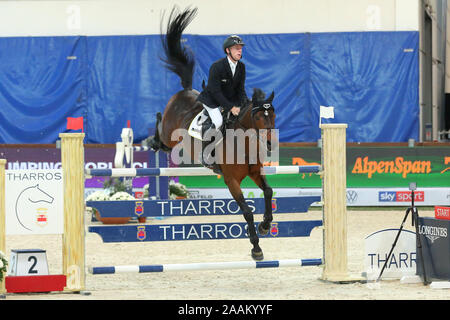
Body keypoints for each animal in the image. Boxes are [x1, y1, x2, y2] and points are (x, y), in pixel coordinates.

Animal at [149, 6, 274, 260]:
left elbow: (268, 192)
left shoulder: (255, 172)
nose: (268, 145)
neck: (244, 144)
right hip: (169, 132)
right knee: (161, 131)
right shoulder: (231, 181)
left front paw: (266, 225)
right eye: (258, 117)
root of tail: (186, 90)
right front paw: (256, 247)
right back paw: (152, 140)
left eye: (274, 115)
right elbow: (247, 211)